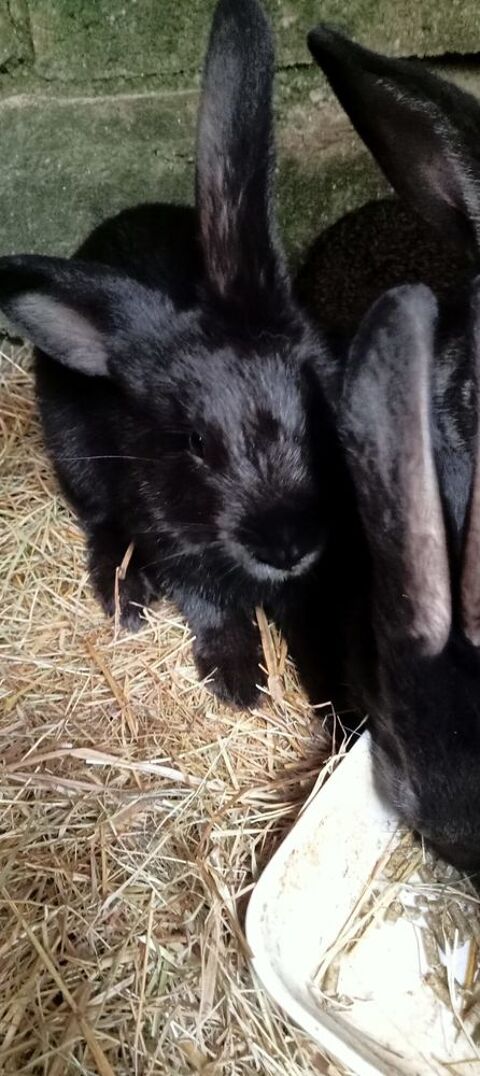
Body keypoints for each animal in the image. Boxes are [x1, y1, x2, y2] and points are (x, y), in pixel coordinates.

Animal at [0, 0, 341, 710]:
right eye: (196, 444)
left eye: (316, 408)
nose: (288, 545)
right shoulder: (176, 544)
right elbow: (213, 609)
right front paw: (238, 682)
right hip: (73, 453)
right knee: (100, 522)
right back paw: (125, 594)